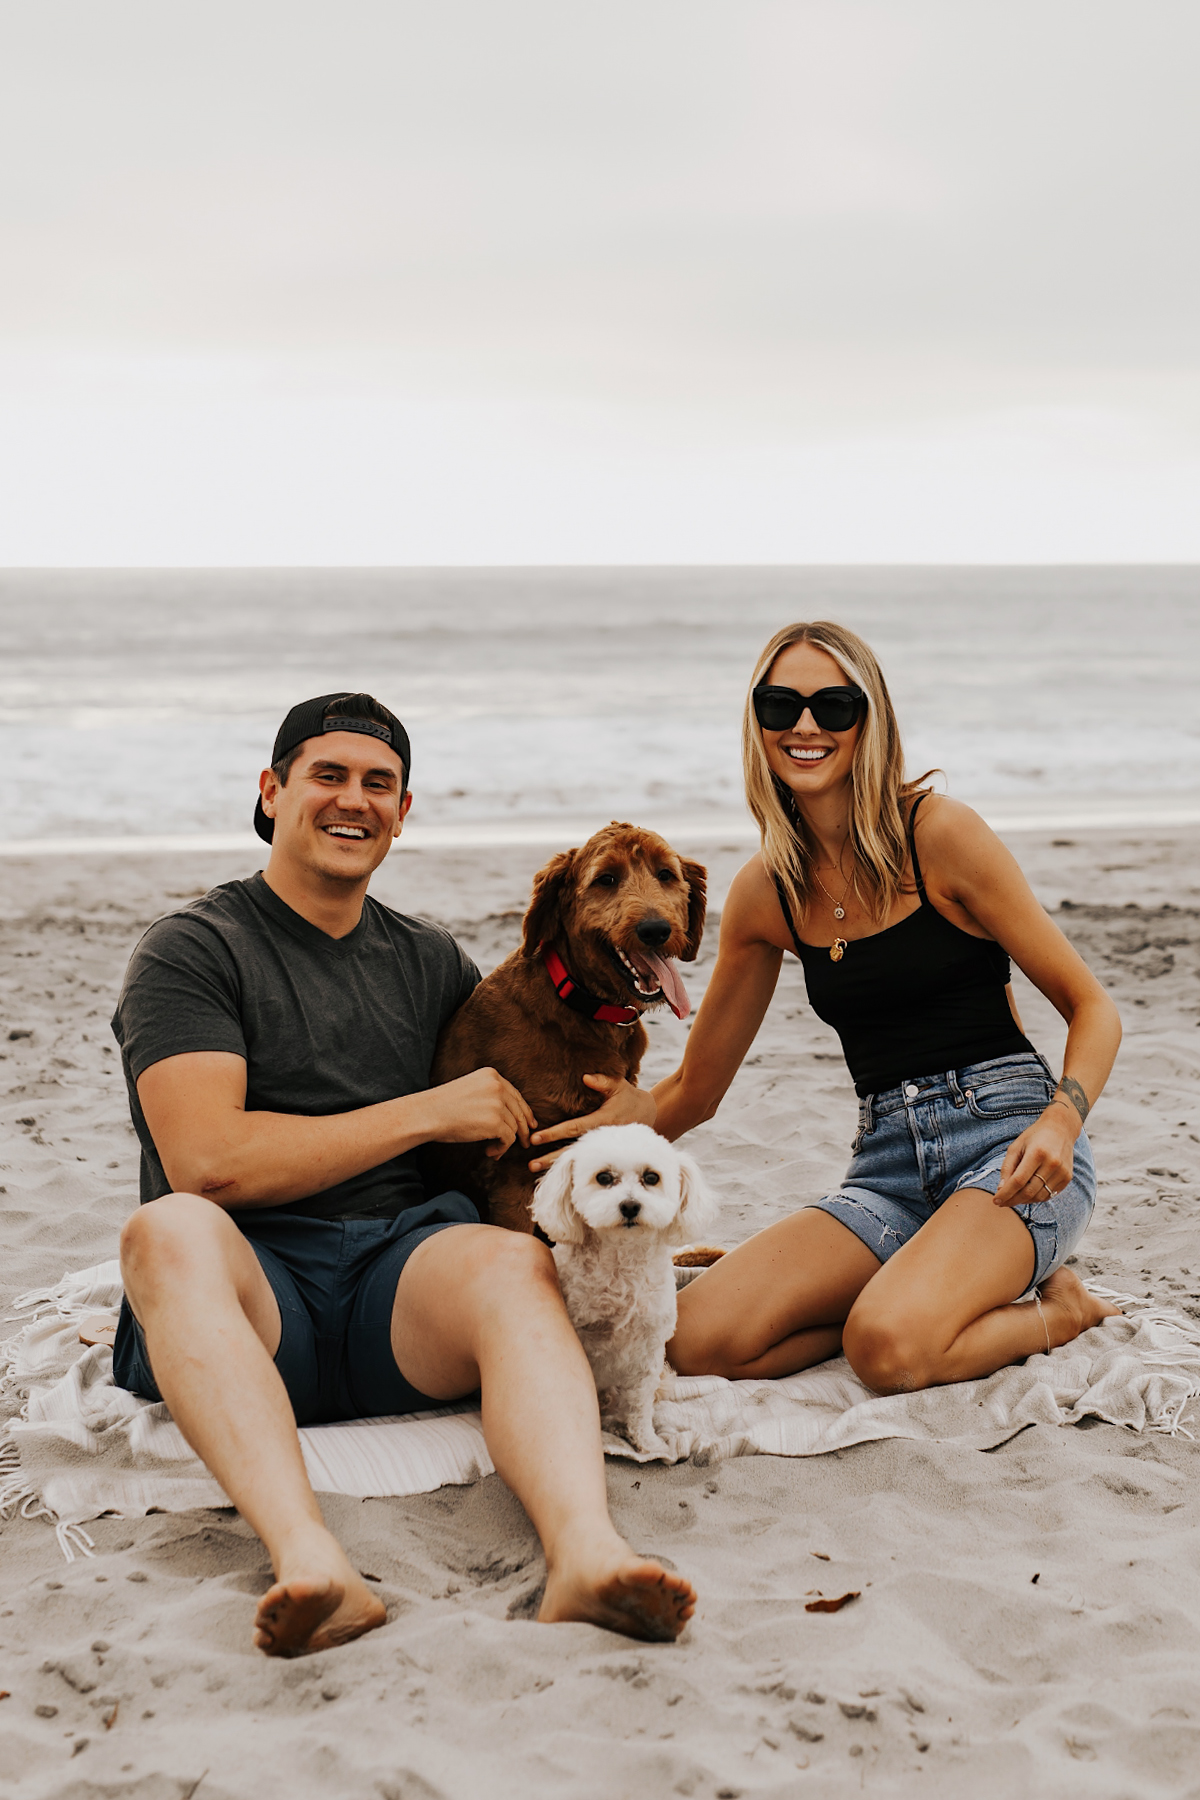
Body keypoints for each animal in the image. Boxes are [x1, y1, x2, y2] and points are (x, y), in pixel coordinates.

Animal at [532, 1116, 719, 1454]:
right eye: (604, 1178)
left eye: (651, 1177)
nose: (630, 1206)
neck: (622, 1262)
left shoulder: (648, 1350)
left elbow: (641, 1404)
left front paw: (647, 1442)